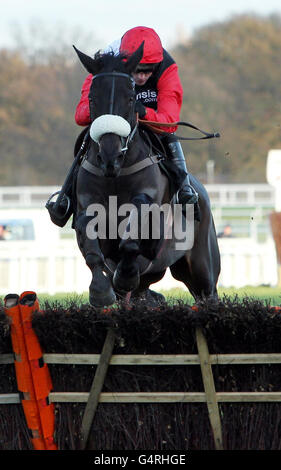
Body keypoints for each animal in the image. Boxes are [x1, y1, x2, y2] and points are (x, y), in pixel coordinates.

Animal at [72, 44, 221, 308]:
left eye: (131, 98)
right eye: (91, 99)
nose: (110, 156)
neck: (116, 176)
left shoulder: (153, 226)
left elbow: (135, 230)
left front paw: (123, 275)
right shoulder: (87, 206)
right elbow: (90, 241)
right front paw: (100, 290)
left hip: (202, 269)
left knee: (207, 294)